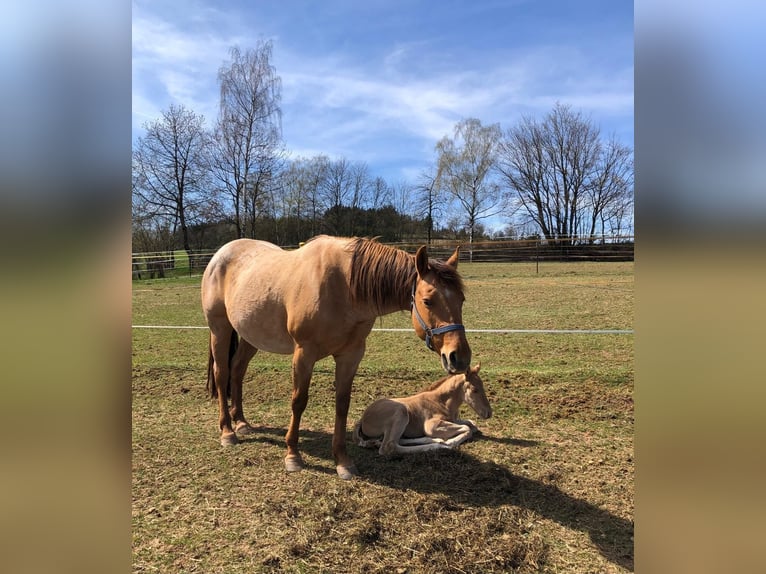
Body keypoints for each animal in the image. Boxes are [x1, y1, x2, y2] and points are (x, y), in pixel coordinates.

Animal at [200, 235, 471, 479]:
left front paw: (343, 462)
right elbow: (298, 401)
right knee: (222, 373)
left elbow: (342, 405)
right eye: (428, 300)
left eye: (462, 299)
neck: (343, 287)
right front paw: (293, 456)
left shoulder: (350, 355)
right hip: (220, 329)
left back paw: (242, 423)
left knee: (237, 371)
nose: (459, 357)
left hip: (251, 337)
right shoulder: (304, 354)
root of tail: (219, 255)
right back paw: (228, 432)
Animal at [353, 363, 491, 456]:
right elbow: (468, 428)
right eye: (475, 390)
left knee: (398, 440)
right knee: (389, 446)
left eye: (483, 385)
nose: (488, 413)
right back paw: (438, 445)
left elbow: (472, 424)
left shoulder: (453, 420)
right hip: (401, 412)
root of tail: (362, 419)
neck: (441, 401)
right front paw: (450, 442)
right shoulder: (431, 426)